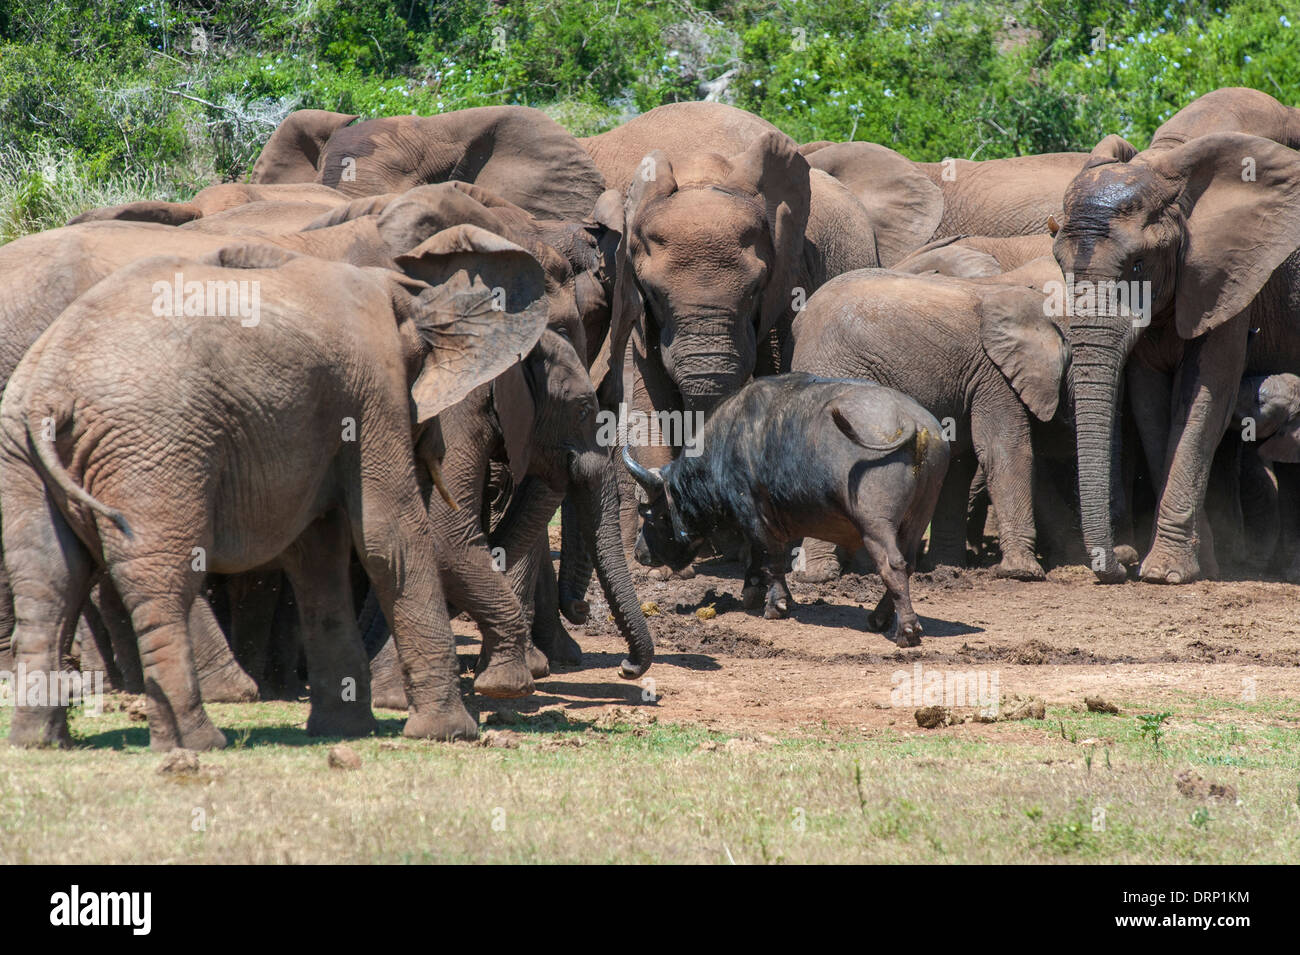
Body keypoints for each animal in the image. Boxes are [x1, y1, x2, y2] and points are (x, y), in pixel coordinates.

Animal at [0, 227, 548, 748]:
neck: (401, 293)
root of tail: (52, 394)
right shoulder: (372, 389)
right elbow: (387, 535)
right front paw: (447, 734)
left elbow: (317, 554)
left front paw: (343, 730)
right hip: (154, 447)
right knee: (159, 578)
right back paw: (198, 741)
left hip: (23, 453)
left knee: (49, 578)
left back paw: (40, 740)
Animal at [624, 369, 951, 647]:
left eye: (651, 515)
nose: (640, 554)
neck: (729, 441)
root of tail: (911, 419)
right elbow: (758, 557)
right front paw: (756, 594)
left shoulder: (755, 514)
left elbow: (770, 557)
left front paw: (775, 605)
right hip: (916, 521)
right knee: (907, 563)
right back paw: (879, 618)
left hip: (875, 525)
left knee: (892, 565)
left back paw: (906, 631)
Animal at [785, 257, 1071, 579]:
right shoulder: (994, 374)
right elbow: (1003, 449)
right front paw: (1021, 572)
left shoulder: (970, 379)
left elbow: (958, 460)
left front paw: (946, 568)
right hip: (841, 369)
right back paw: (818, 575)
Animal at [1050, 131, 1300, 587]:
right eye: (1059, 265)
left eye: (1138, 265)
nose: (1119, 561)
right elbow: (1151, 402)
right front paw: (1199, 566)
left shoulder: (1227, 278)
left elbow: (1204, 395)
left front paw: (1164, 572)